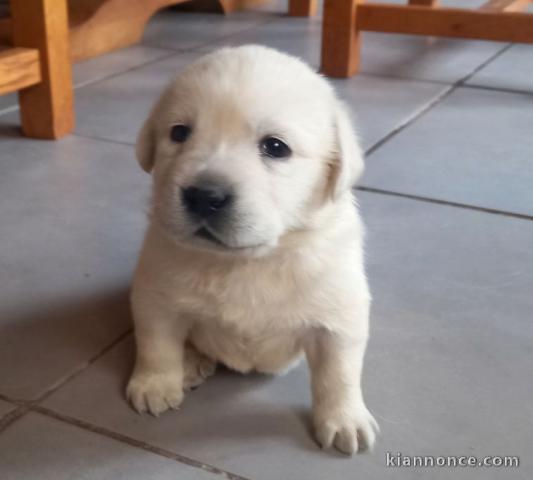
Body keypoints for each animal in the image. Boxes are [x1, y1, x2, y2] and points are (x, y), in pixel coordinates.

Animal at [128, 45, 378, 454]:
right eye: (179, 133)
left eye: (275, 147)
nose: (204, 196)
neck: (247, 261)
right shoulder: (155, 295)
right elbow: (157, 344)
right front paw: (155, 385)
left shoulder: (340, 316)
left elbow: (339, 372)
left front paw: (345, 420)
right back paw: (191, 362)